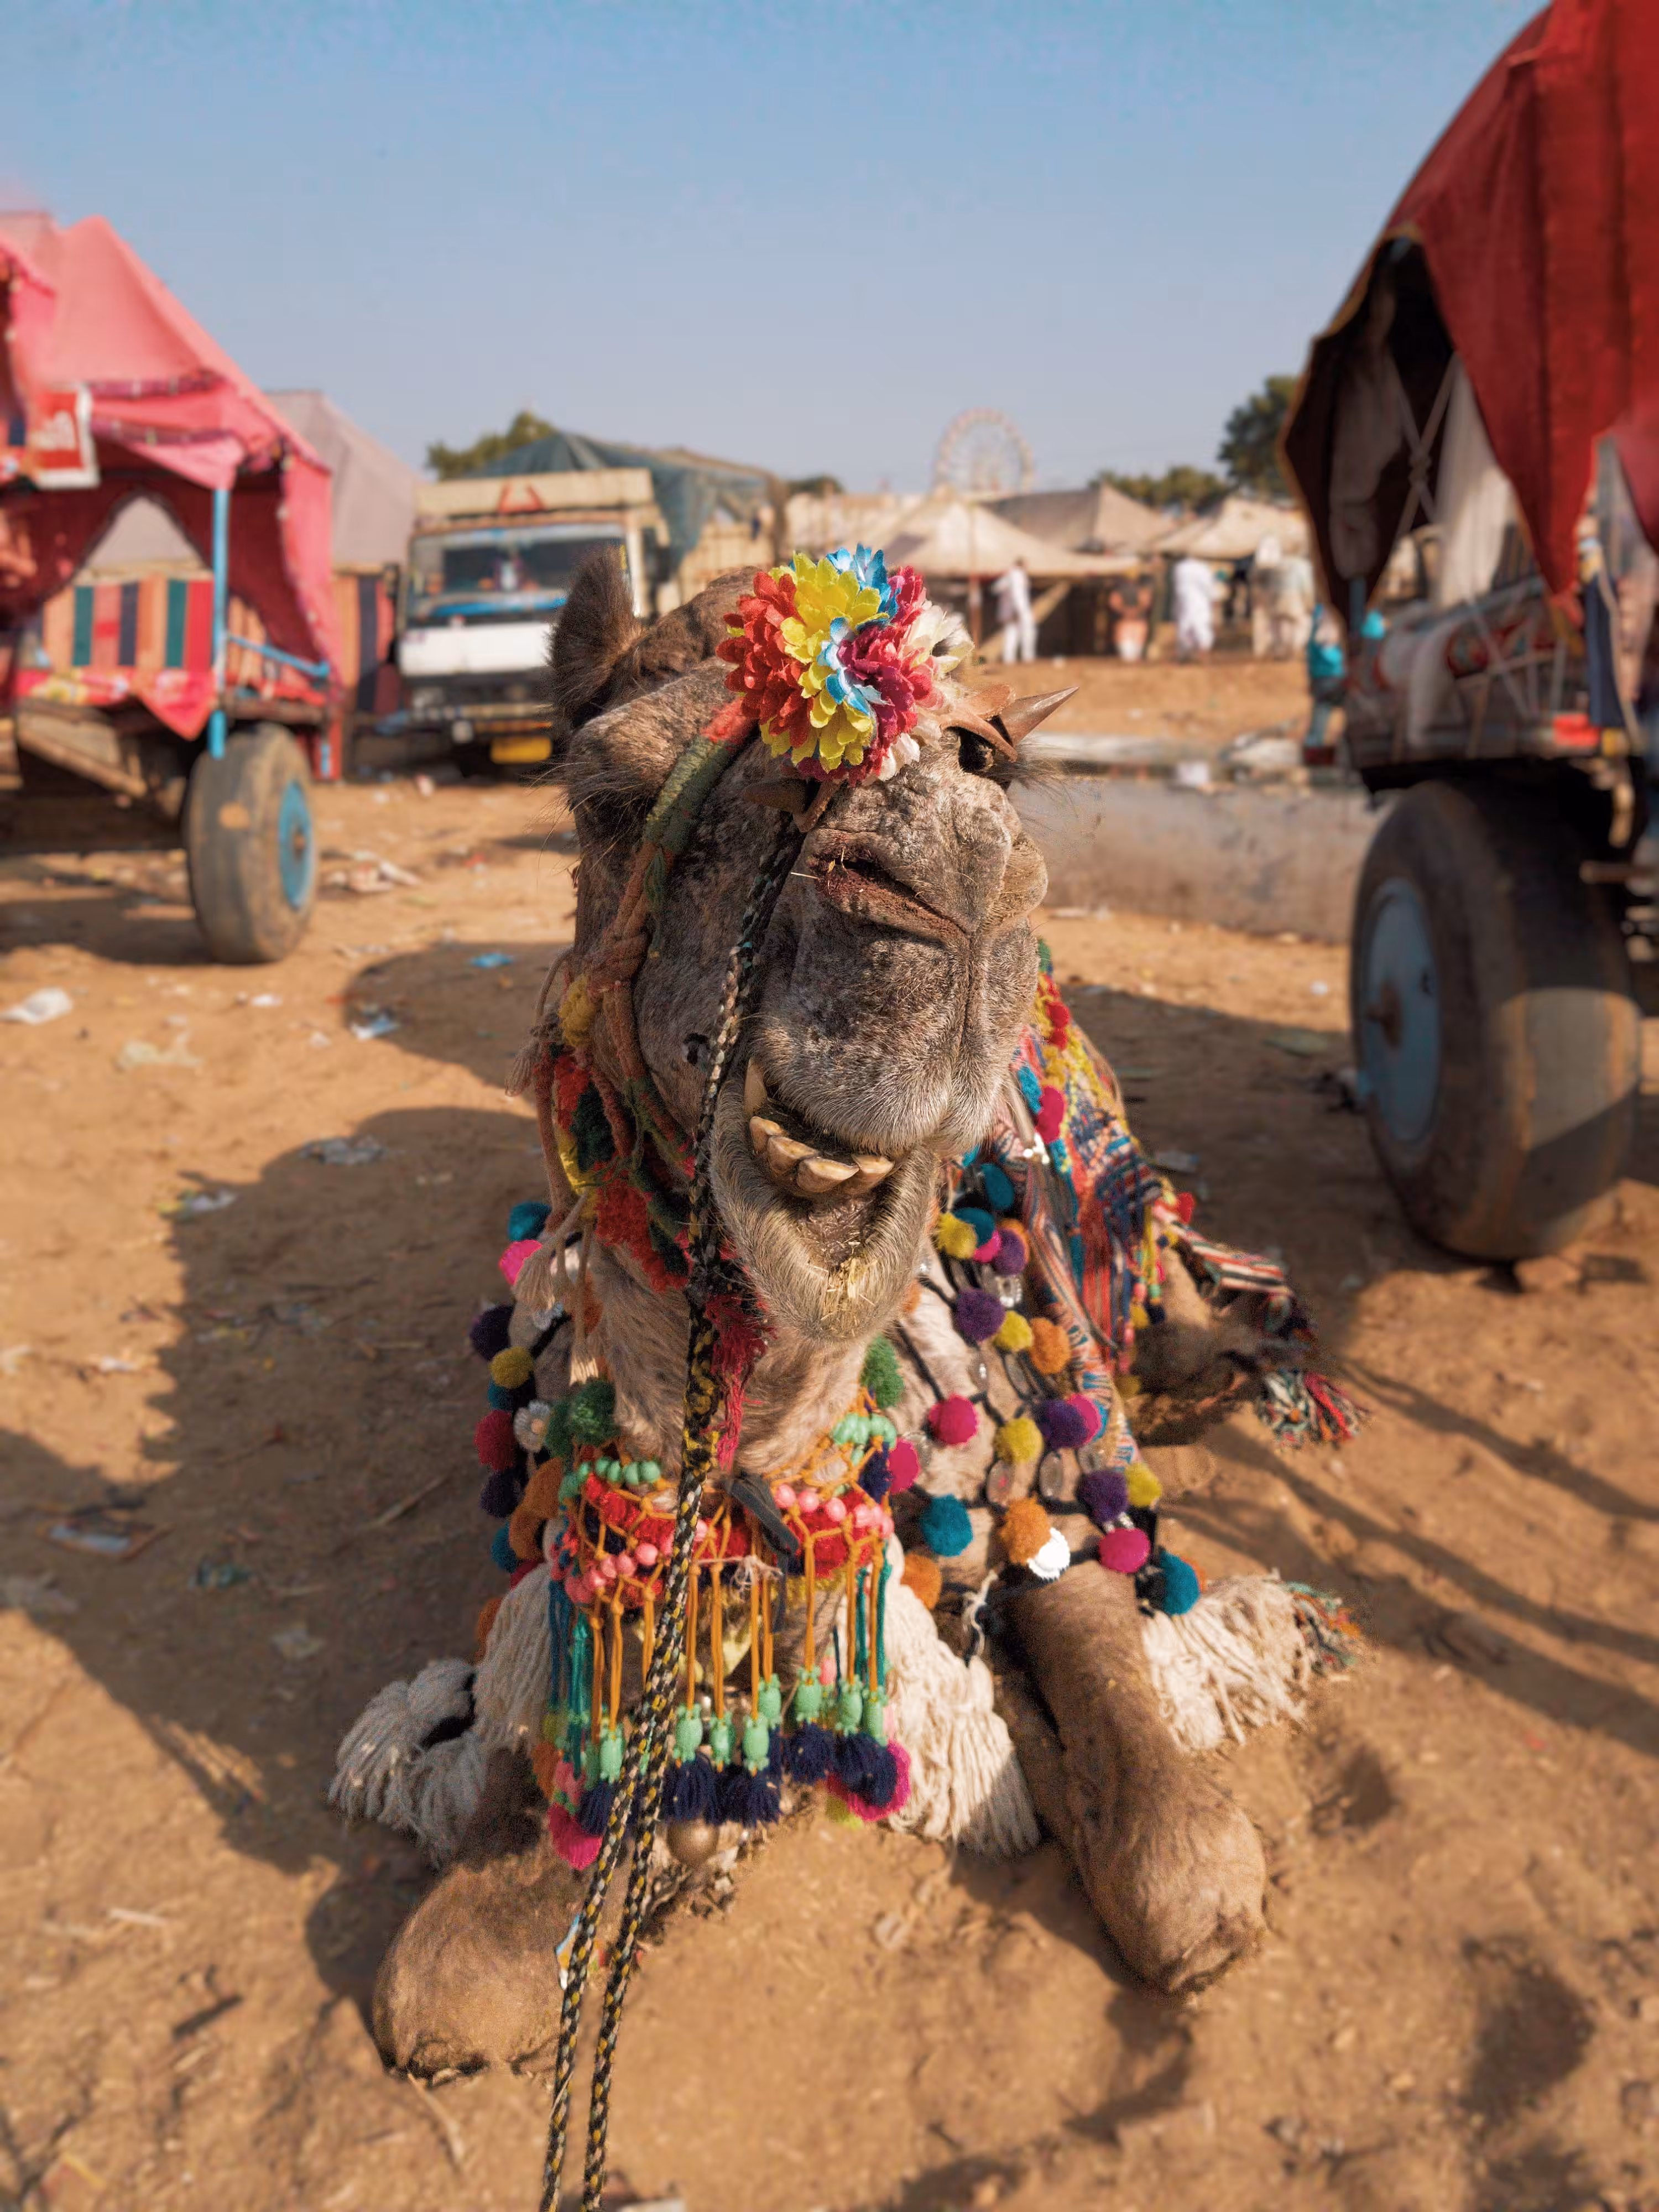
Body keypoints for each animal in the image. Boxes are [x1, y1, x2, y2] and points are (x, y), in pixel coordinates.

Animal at [336, 548, 1356, 2090]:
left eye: (981, 754)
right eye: (605, 794)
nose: (955, 882)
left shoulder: (1039, 1468)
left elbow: (1175, 1849)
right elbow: (451, 1968)